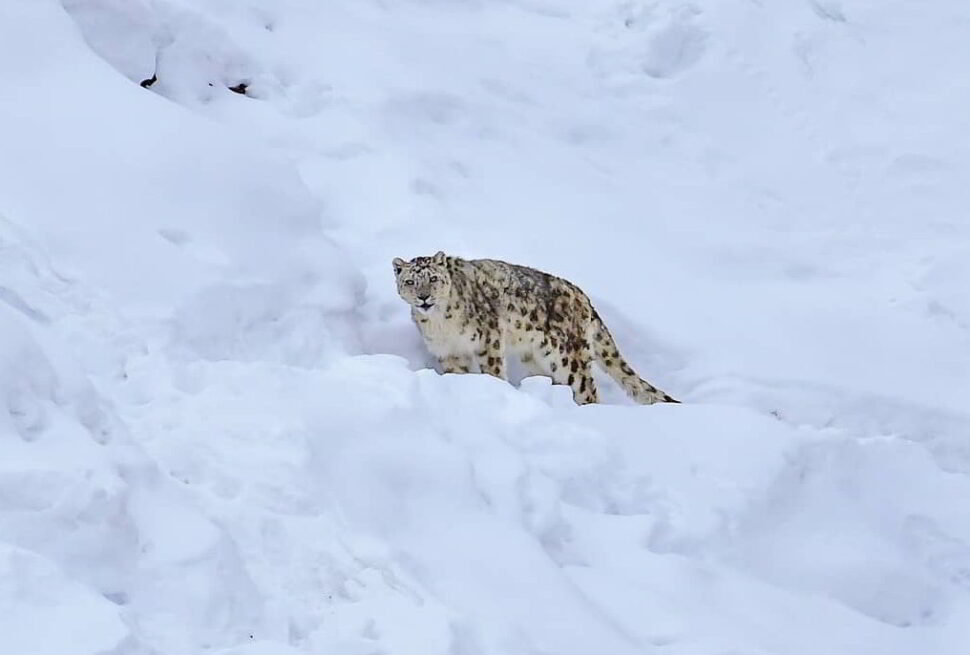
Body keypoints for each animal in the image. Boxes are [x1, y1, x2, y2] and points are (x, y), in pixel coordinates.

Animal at [393, 251, 678, 405]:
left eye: (433, 278)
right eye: (410, 281)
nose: (424, 297)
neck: (442, 325)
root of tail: (584, 299)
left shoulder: (488, 339)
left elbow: (493, 371)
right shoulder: (449, 352)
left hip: (569, 357)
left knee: (587, 389)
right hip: (537, 359)